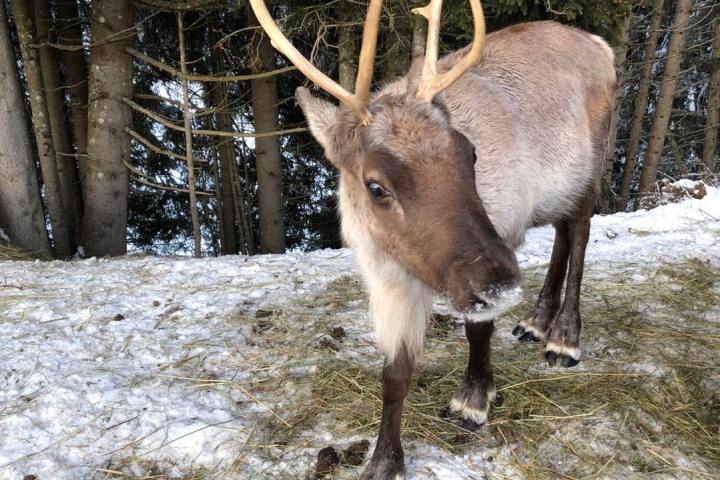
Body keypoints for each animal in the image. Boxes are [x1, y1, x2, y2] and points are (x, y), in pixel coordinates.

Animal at [249, 0, 615, 477]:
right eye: (376, 186)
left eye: (470, 153)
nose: (500, 280)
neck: (405, 265)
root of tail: (600, 44)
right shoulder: (390, 281)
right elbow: (395, 372)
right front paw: (384, 461)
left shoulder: (501, 235)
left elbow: (477, 332)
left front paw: (473, 401)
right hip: (558, 193)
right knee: (563, 232)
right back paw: (535, 323)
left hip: (592, 166)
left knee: (582, 231)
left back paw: (564, 339)